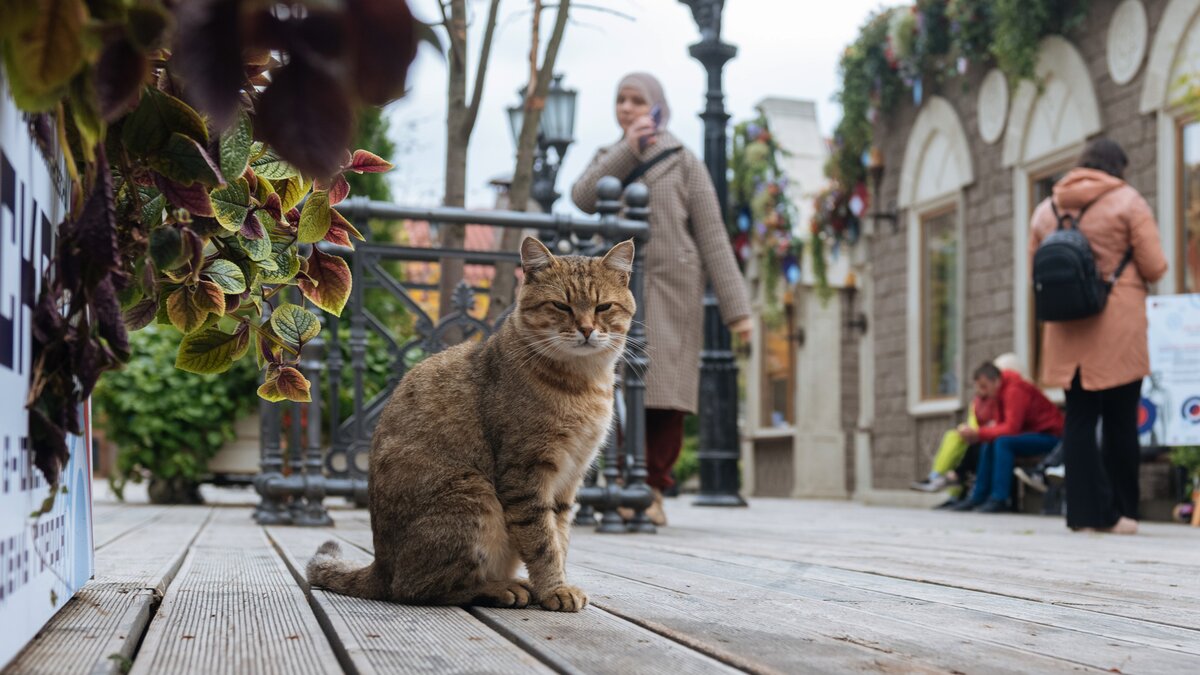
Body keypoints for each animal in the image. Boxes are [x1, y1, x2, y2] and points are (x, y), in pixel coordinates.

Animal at [304, 235, 633, 610]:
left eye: (604, 307)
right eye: (561, 306)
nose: (587, 329)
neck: (584, 384)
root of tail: (380, 567)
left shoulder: (569, 479)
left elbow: (559, 536)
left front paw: (555, 583)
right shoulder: (526, 475)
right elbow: (542, 541)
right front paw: (554, 588)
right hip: (472, 494)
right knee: (416, 588)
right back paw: (499, 588)